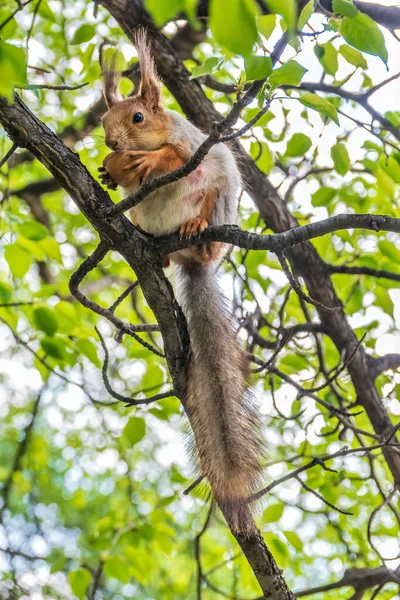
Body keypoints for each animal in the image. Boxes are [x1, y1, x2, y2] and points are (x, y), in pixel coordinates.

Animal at [99, 29, 264, 536]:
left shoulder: (190, 146)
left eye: (137, 116)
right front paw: (109, 171)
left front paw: (146, 160)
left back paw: (195, 230)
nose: (111, 139)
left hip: (217, 196)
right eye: (103, 119)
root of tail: (191, 260)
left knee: (205, 214)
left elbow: (173, 156)